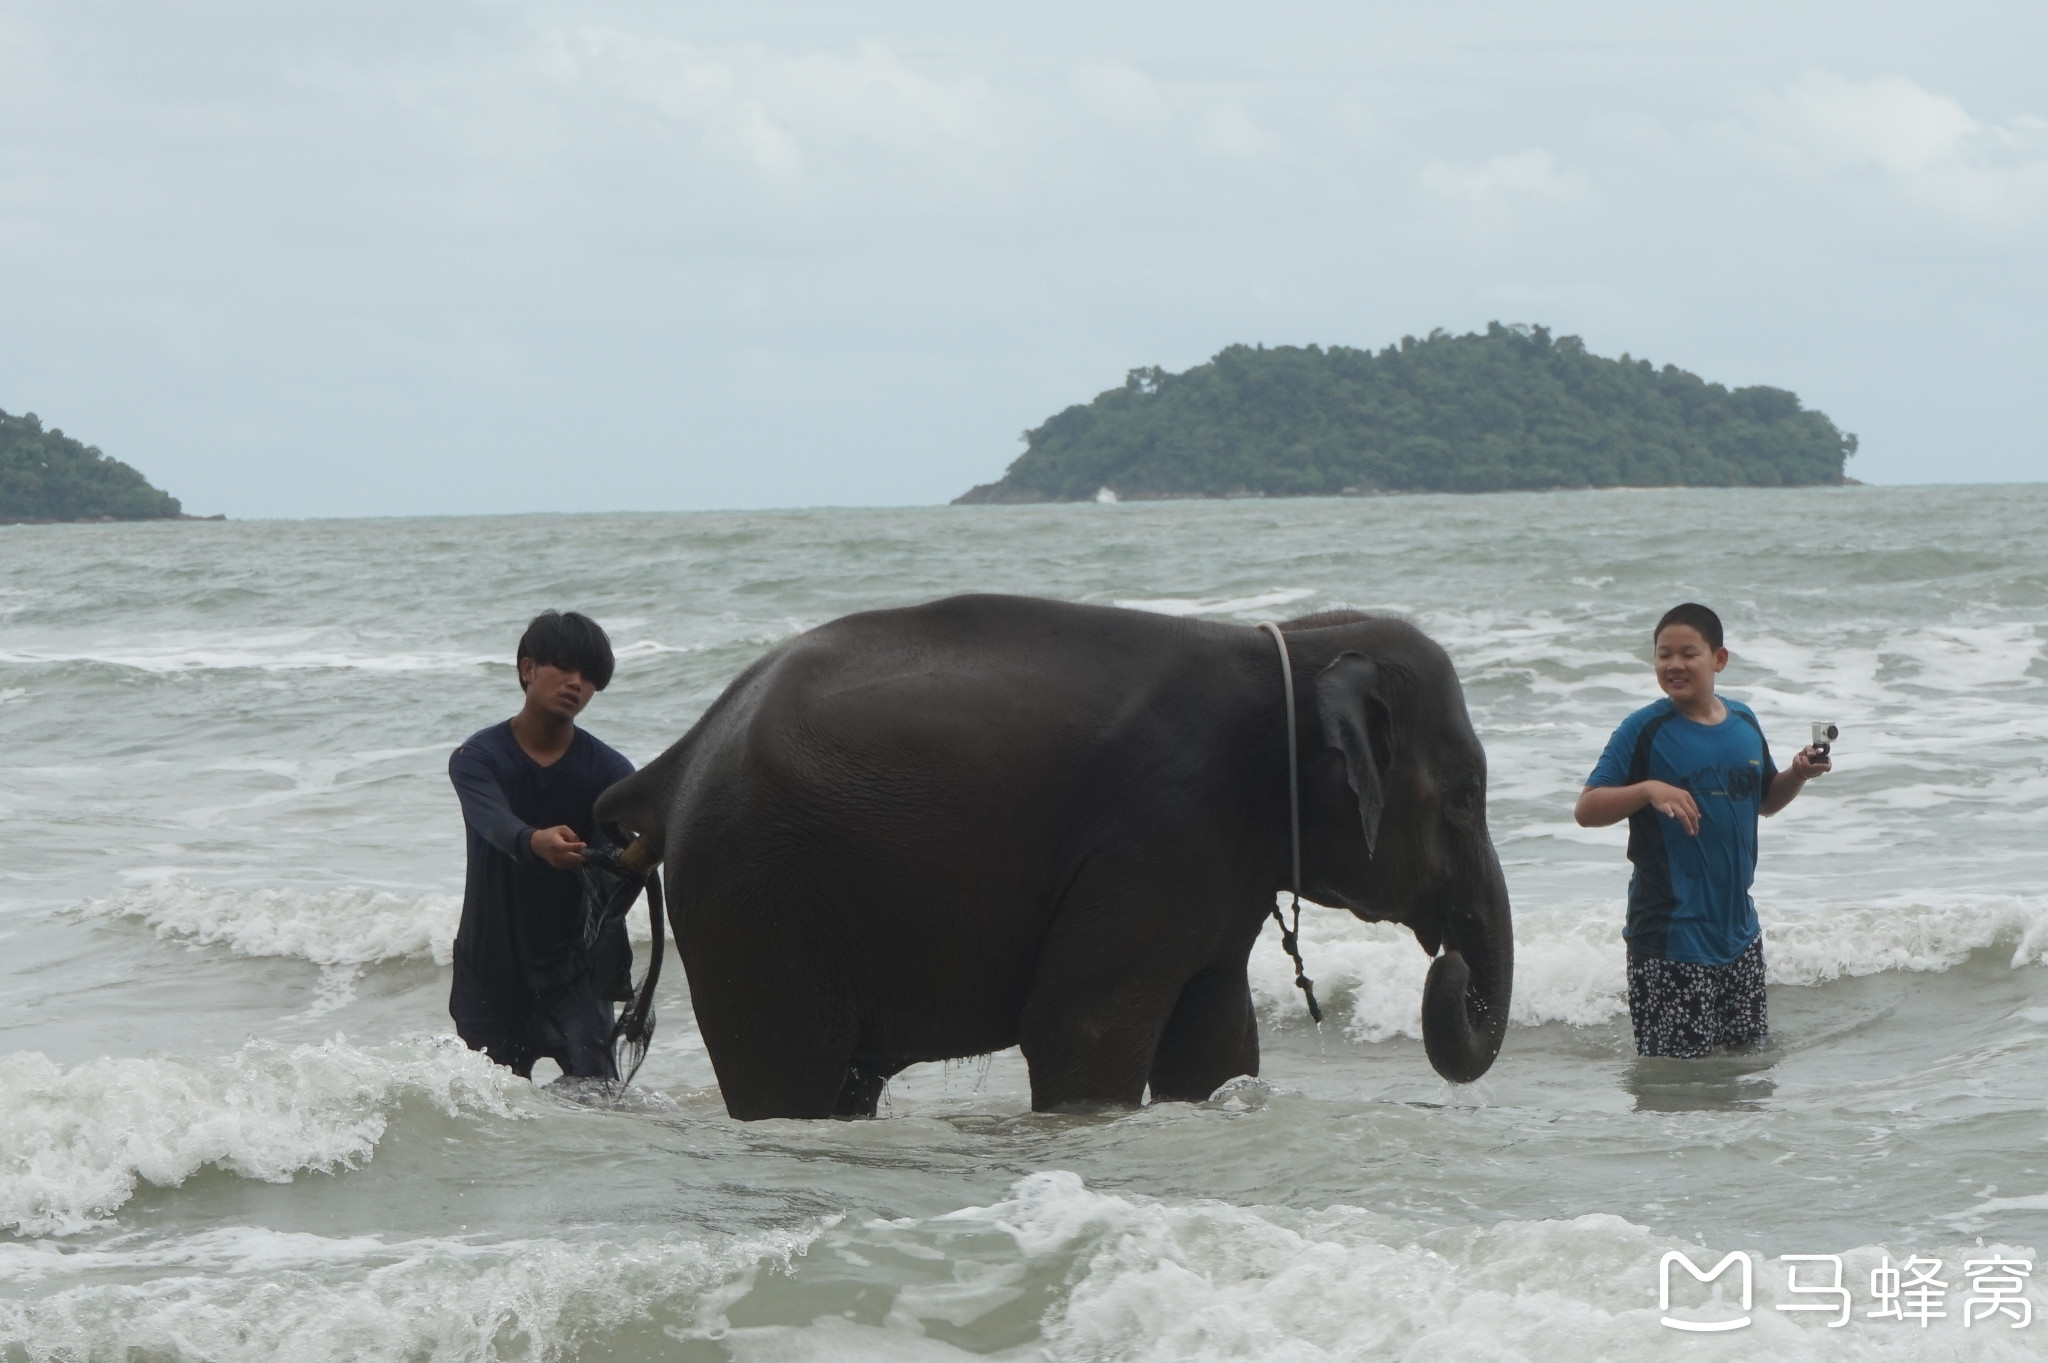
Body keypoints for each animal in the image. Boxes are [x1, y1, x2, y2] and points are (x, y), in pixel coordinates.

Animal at [598, 593, 1515, 1113]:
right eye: (1465, 796)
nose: (1451, 965)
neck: (1281, 648)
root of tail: (676, 763)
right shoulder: (1155, 831)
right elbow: (1082, 1025)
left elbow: (1216, 1039)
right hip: (754, 900)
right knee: (787, 1077)